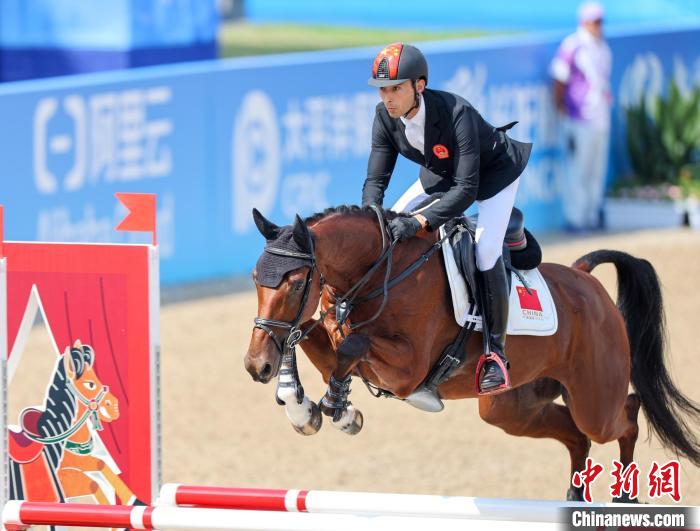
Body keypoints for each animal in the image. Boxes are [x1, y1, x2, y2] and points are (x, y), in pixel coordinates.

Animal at [9, 341, 139, 507]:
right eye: (90, 384)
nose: (114, 407)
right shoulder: (64, 480)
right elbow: (93, 484)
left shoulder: (81, 463)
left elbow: (101, 464)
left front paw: (134, 500)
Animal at [244, 205, 700, 501]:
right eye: (254, 278)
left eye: (295, 282)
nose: (255, 366)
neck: (379, 273)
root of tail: (584, 278)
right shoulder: (331, 339)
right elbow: (307, 340)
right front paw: (304, 409)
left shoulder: (407, 371)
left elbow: (350, 347)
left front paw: (338, 411)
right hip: (511, 408)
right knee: (575, 435)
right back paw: (575, 498)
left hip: (594, 400)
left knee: (625, 415)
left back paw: (626, 497)